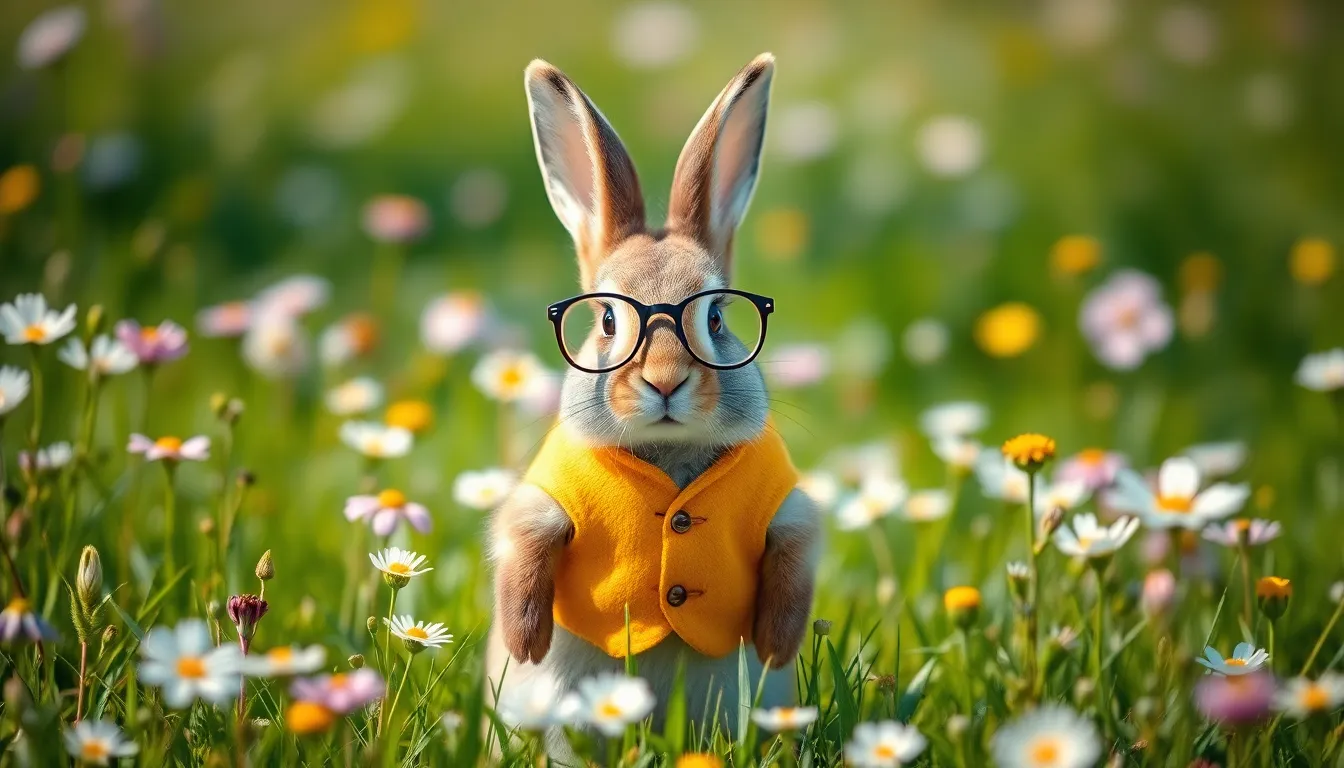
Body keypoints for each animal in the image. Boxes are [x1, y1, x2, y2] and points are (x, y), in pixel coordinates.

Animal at [486, 52, 820, 755]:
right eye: (608, 320)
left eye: (717, 316)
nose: (665, 383)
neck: (668, 453)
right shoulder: (542, 499)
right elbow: (526, 543)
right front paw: (525, 642)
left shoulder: (791, 509)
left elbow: (794, 554)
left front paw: (776, 645)